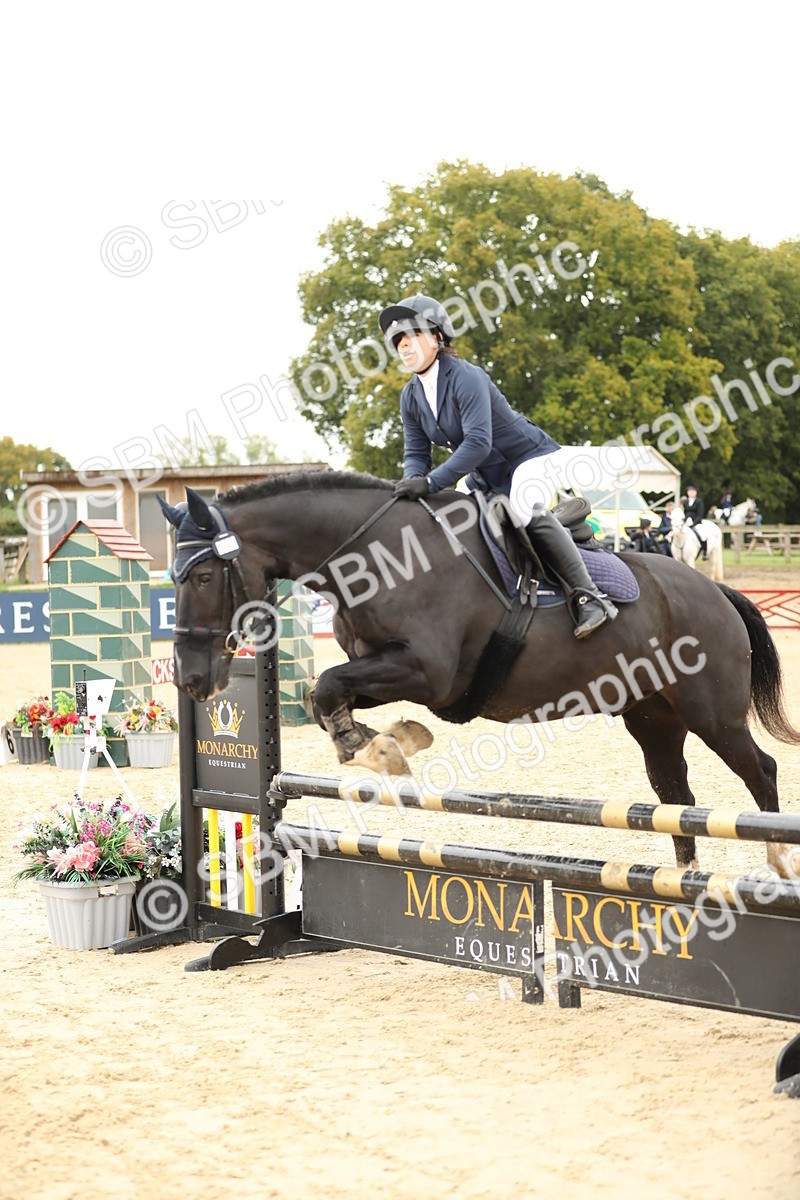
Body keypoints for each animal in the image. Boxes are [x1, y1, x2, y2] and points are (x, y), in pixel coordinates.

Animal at [161, 472, 800, 878]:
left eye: (202, 578)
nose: (191, 679)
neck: (375, 557)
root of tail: (716, 592)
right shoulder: (384, 669)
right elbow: (329, 693)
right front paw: (388, 742)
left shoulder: (427, 671)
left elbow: (328, 686)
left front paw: (377, 749)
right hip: (652, 718)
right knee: (676, 795)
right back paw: (683, 882)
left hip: (710, 713)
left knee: (760, 771)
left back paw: (777, 865)